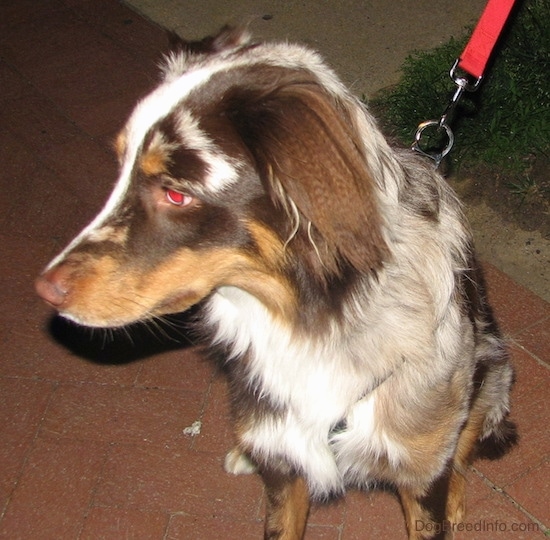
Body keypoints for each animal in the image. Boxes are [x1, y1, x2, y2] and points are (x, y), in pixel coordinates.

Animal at [35, 26, 516, 540]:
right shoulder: (283, 460)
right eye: (121, 168)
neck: (306, 321)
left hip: (494, 370)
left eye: (176, 194)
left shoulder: (419, 468)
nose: (46, 290)